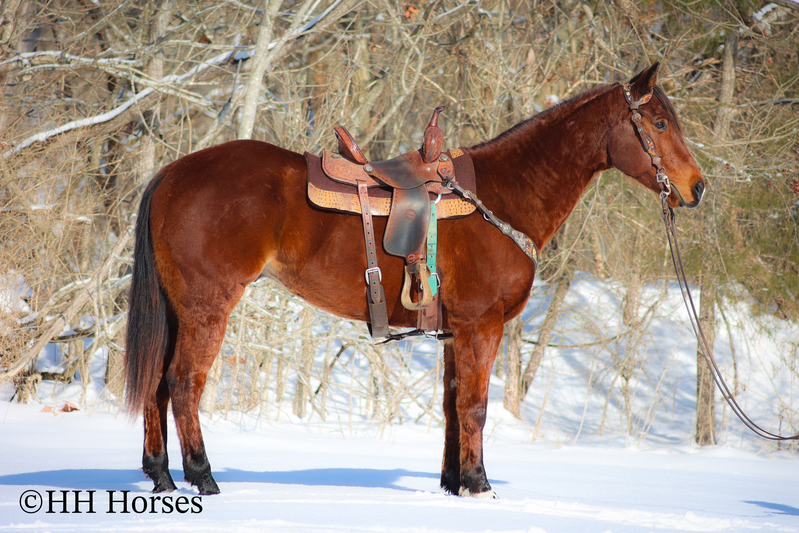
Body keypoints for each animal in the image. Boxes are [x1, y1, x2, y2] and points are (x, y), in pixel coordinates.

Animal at [122, 64, 704, 496]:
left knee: (155, 383)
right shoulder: (480, 327)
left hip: (177, 308)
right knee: (183, 382)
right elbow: (474, 407)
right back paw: (203, 477)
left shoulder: (453, 333)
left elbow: (452, 404)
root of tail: (171, 174)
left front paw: (453, 483)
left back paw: (161, 475)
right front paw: (479, 485)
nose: (696, 187)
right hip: (207, 307)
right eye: (657, 124)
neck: (500, 196)